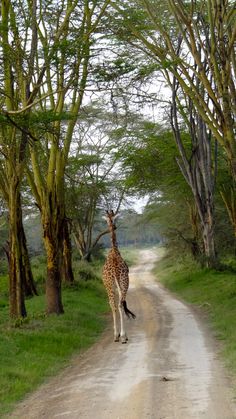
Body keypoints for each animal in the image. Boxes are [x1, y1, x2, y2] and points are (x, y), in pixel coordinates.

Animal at [102, 210, 136, 344]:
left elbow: (115, 305)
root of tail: (116, 270)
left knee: (114, 304)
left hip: (112, 285)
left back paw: (119, 336)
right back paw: (122, 336)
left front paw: (119, 334)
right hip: (123, 283)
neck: (114, 250)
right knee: (120, 304)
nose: (114, 226)